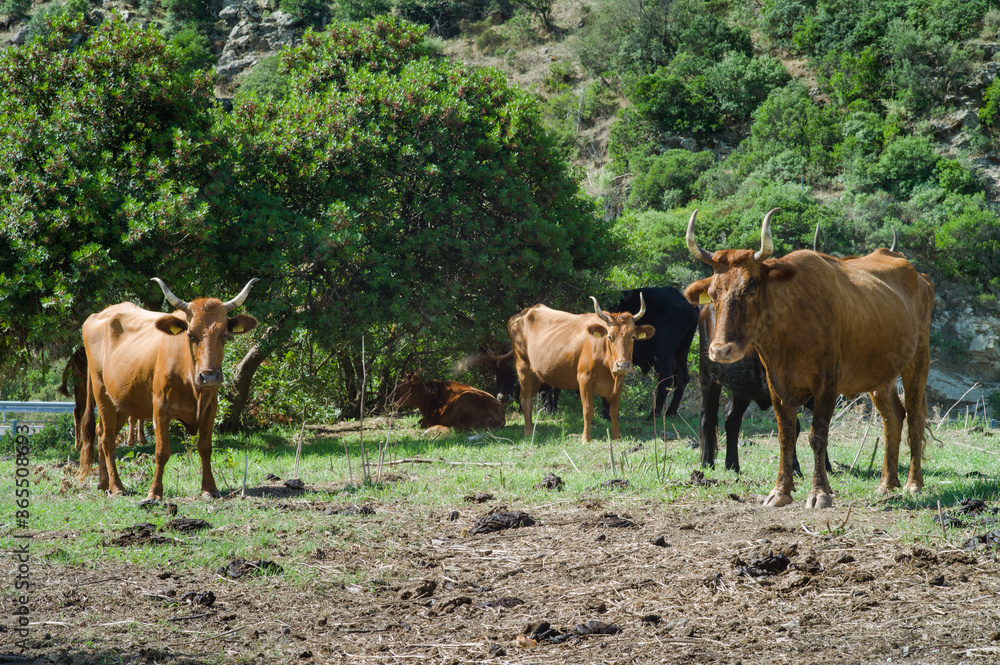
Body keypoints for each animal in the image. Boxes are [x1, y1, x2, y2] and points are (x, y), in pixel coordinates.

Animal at [79, 274, 258, 498]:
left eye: (224, 335)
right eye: (190, 335)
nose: (209, 377)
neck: (191, 383)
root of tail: (101, 314)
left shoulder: (210, 408)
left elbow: (205, 447)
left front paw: (209, 488)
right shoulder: (160, 408)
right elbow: (162, 451)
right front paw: (154, 492)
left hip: (122, 401)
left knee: (101, 431)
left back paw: (104, 483)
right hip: (102, 393)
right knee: (108, 439)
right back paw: (117, 487)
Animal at [508, 296, 656, 440]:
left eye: (632, 337)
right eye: (610, 337)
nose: (622, 365)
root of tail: (524, 312)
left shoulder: (619, 381)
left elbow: (614, 411)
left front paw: (617, 437)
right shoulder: (584, 379)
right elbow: (588, 411)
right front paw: (585, 438)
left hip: (536, 374)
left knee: (530, 397)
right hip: (523, 366)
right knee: (525, 398)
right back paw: (528, 432)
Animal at [684, 210, 932, 510]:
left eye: (750, 287)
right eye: (714, 293)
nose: (721, 350)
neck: (788, 324)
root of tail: (919, 275)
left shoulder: (826, 383)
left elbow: (817, 435)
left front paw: (820, 492)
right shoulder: (776, 384)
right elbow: (786, 434)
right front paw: (781, 491)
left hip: (918, 360)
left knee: (915, 416)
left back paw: (913, 483)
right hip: (880, 374)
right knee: (892, 417)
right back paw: (887, 483)